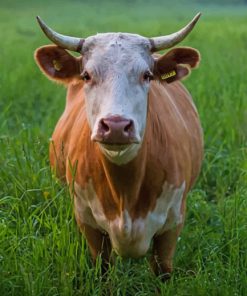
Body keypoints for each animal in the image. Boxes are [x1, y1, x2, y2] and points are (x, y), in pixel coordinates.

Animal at [34, 13, 204, 280]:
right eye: (86, 75)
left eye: (147, 75)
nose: (115, 125)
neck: (126, 191)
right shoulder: (89, 224)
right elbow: (103, 270)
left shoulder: (172, 226)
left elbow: (163, 271)